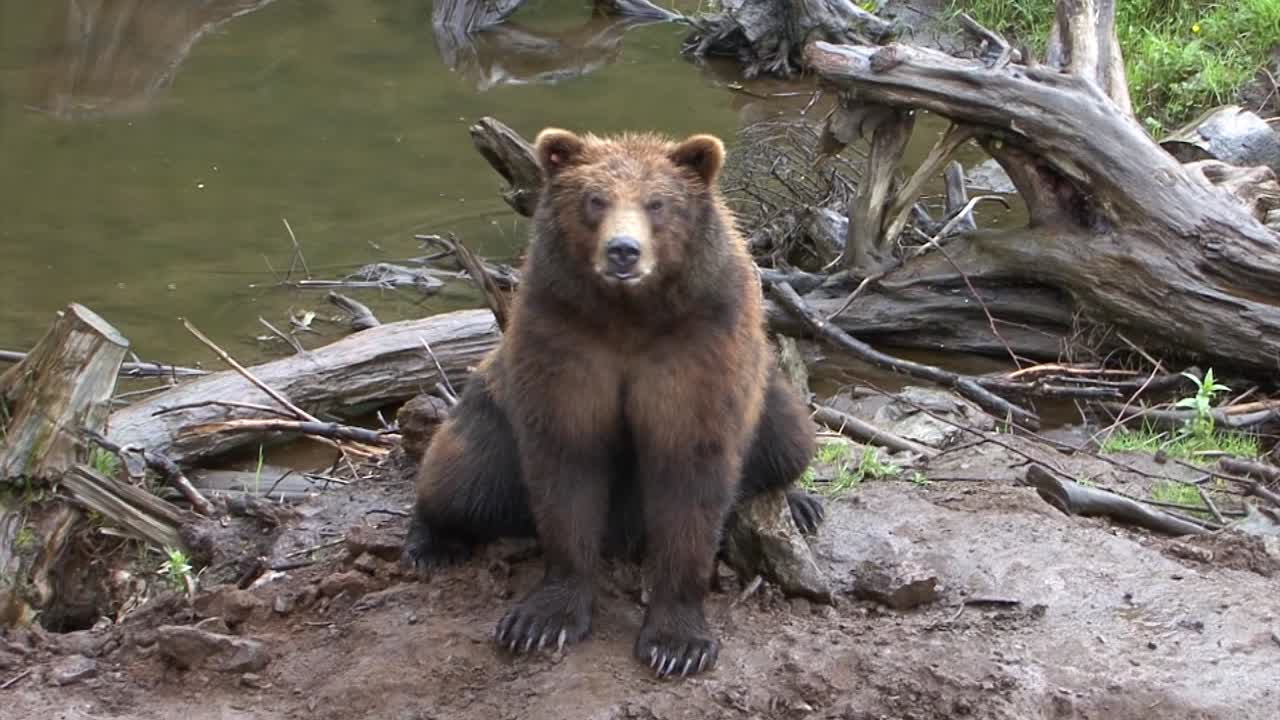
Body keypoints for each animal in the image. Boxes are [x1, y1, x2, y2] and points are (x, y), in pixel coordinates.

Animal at [401, 127, 821, 679]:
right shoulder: (564, 342)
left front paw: (677, 643)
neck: (629, 318)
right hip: (489, 415)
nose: (624, 251)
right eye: (595, 199)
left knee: (789, 439)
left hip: (771, 396)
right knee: (461, 474)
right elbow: (567, 464)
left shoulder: (699, 347)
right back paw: (429, 543)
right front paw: (541, 621)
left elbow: (691, 471)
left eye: (658, 203)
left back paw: (800, 503)